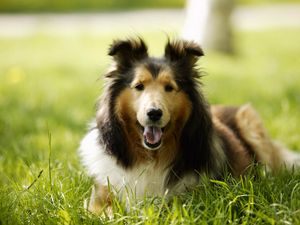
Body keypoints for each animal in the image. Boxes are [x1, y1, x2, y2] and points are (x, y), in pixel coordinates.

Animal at [79, 37, 300, 214]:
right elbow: (109, 212)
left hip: (250, 120)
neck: (151, 157)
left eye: (169, 87)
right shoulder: (99, 199)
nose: (154, 113)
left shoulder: (191, 198)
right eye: (139, 86)